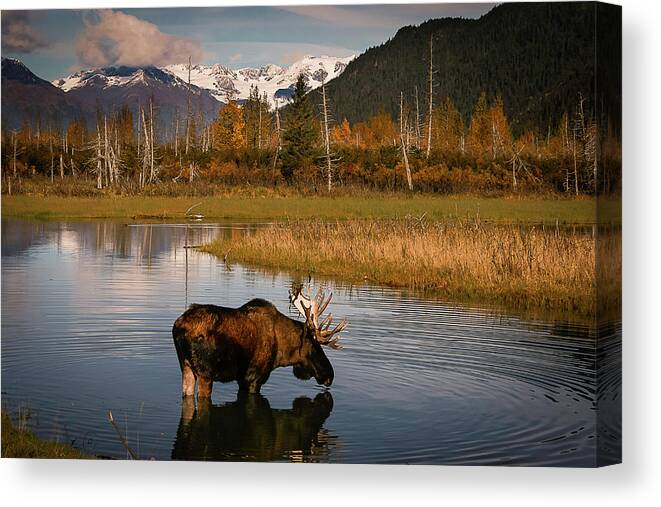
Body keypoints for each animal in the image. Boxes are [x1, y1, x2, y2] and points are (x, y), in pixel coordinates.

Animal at [173, 290, 348, 396]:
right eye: (314, 345)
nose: (330, 375)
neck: (282, 353)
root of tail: (179, 328)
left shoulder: (242, 380)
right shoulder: (253, 379)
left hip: (186, 367)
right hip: (205, 374)